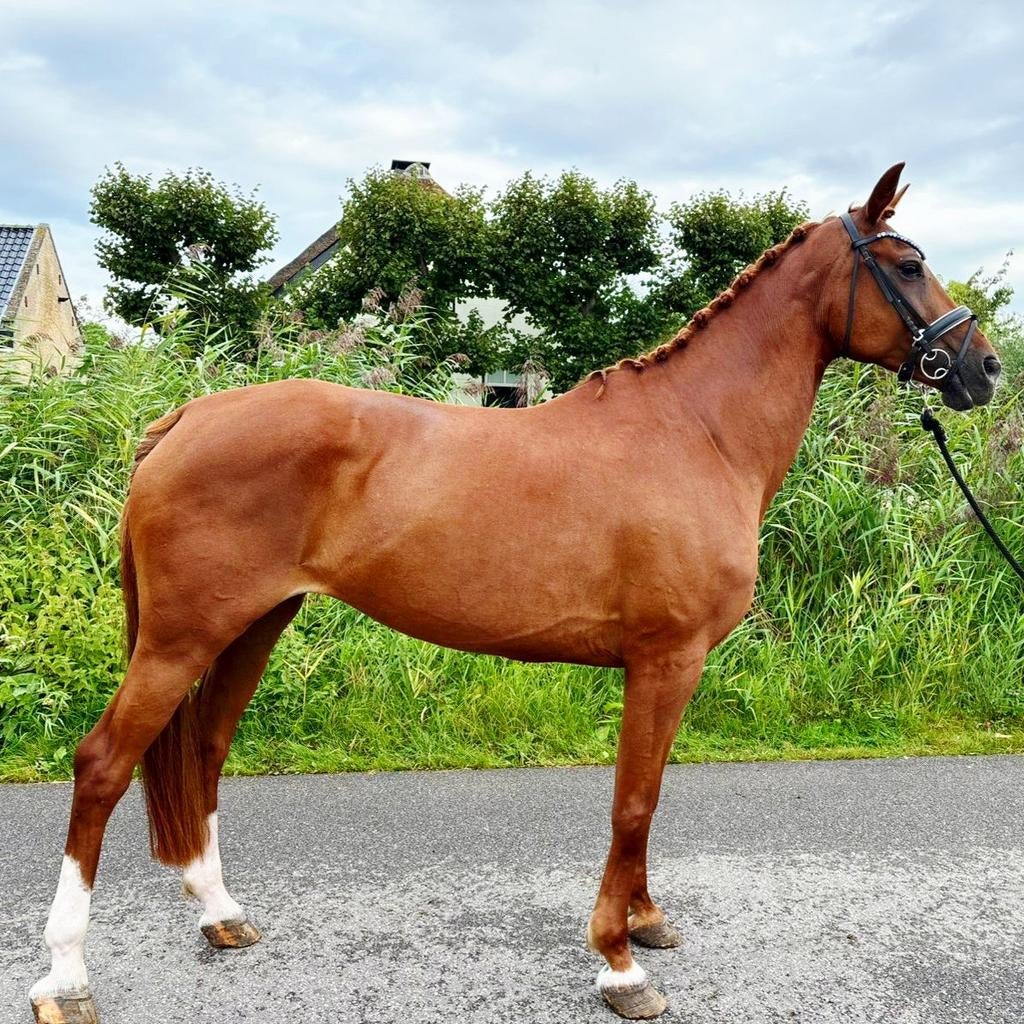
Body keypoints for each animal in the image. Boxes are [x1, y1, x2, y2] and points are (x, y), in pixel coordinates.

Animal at [28, 163, 1001, 1023]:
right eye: (906, 265)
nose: (984, 367)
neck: (698, 434)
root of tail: (186, 418)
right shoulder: (666, 660)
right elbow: (633, 800)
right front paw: (620, 964)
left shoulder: (667, 669)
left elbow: (648, 798)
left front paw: (647, 922)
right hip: (180, 638)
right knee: (103, 764)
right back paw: (67, 979)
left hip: (252, 626)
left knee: (204, 753)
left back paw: (221, 915)